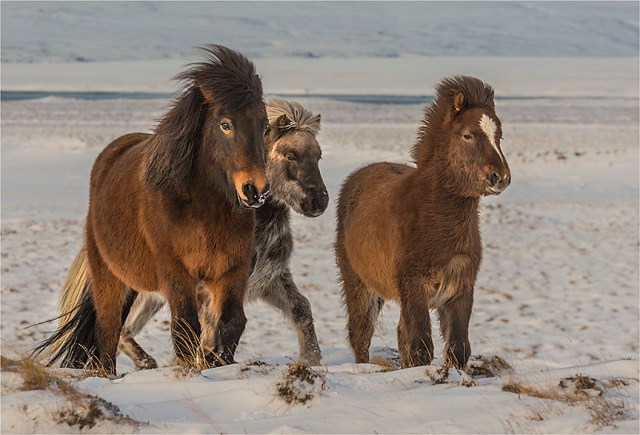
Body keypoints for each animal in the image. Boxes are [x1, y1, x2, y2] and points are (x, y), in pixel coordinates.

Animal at [33, 45, 270, 376]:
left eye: (265, 125)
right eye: (226, 124)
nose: (255, 190)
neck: (205, 210)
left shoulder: (232, 270)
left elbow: (231, 323)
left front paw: (217, 364)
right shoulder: (176, 273)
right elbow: (185, 327)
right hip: (109, 276)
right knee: (107, 331)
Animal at [115, 97, 328, 369]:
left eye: (318, 156)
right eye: (291, 155)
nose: (318, 202)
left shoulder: (270, 279)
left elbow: (301, 309)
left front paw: (311, 358)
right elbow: (210, 331)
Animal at [335, 76, 511, 369]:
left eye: (499, 136)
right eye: (468, 135)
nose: (500, 177)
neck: (435, 219)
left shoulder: (461, 291)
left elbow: (457, 348)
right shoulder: (415, 290)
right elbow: (421, 348)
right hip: (360, 285)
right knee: (360, 333)